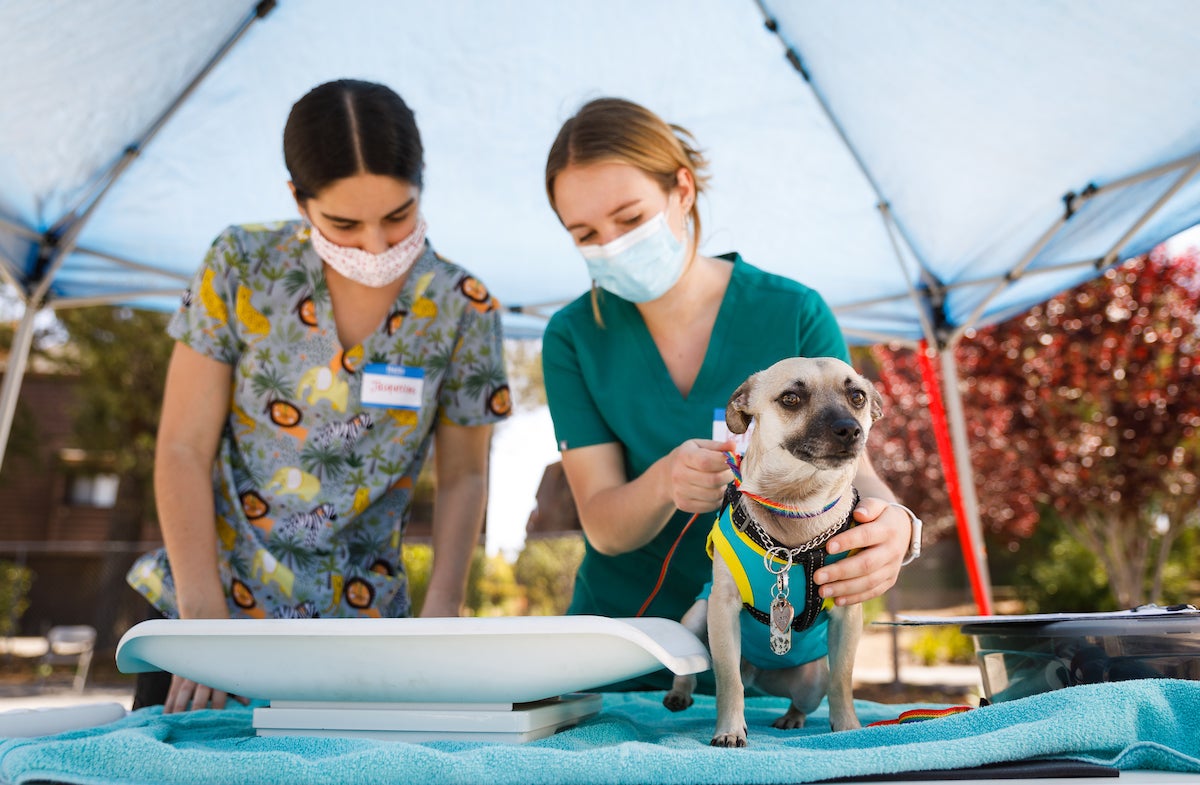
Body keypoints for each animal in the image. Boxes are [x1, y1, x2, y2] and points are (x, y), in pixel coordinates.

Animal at [667, 357, 883, 748]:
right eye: (791, 398)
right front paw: (729, 729)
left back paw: (791, 719)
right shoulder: (722, 609)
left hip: (811, 682)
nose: (849, 429)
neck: (796, 505)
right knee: (693, 669)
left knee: (807, 697)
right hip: (695, 617)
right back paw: (680, 693)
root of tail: (757, 671)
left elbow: (843, 678)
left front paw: (848, 725)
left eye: (857, 396)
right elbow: (728, 681)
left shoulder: (848, 614)